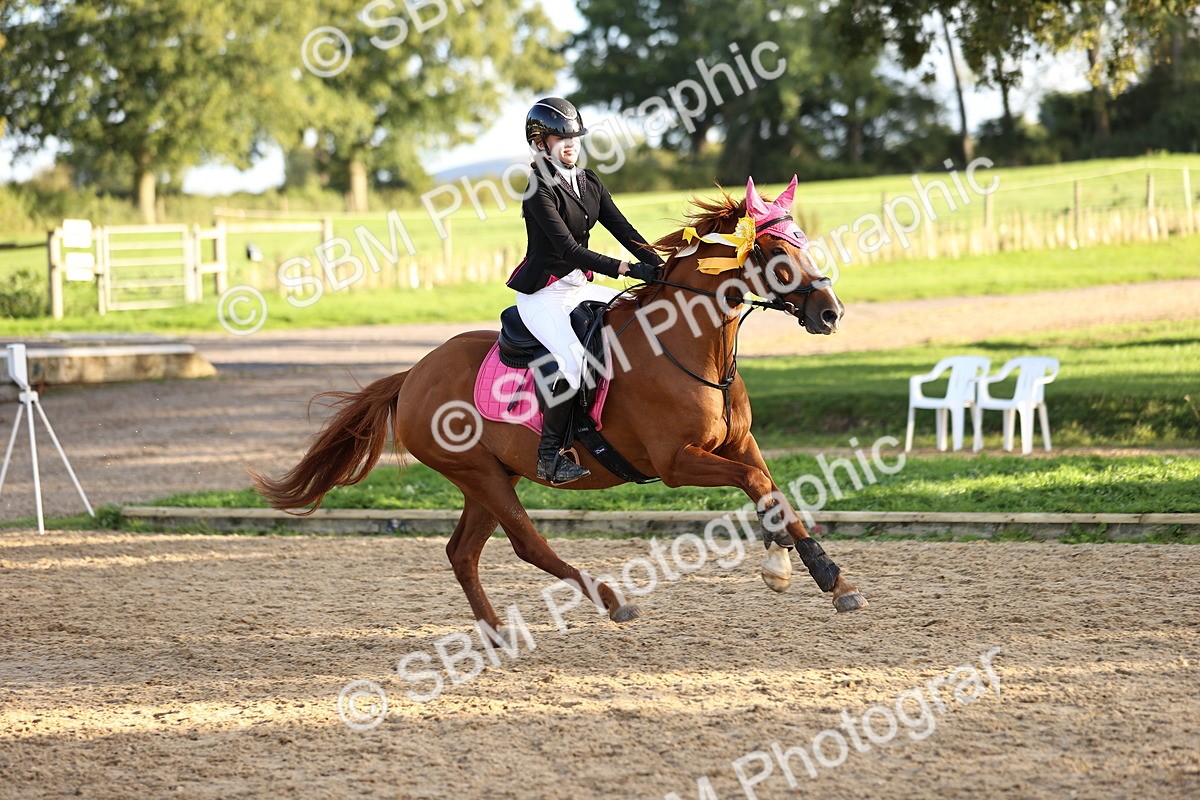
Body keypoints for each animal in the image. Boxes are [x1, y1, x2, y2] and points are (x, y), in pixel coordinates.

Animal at [252, 176, 869, 635]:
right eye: (773, 251)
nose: (831, 313)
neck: (690, 345)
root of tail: (412, 375)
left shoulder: (738, 442)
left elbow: (771, 491)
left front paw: (819, 575)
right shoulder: (675, 462)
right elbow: (757, 484)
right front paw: (794, 567)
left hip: (490, 476)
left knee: (462, 552)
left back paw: (497, 634)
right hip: (479, 474)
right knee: (525, 543)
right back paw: (612, 602)